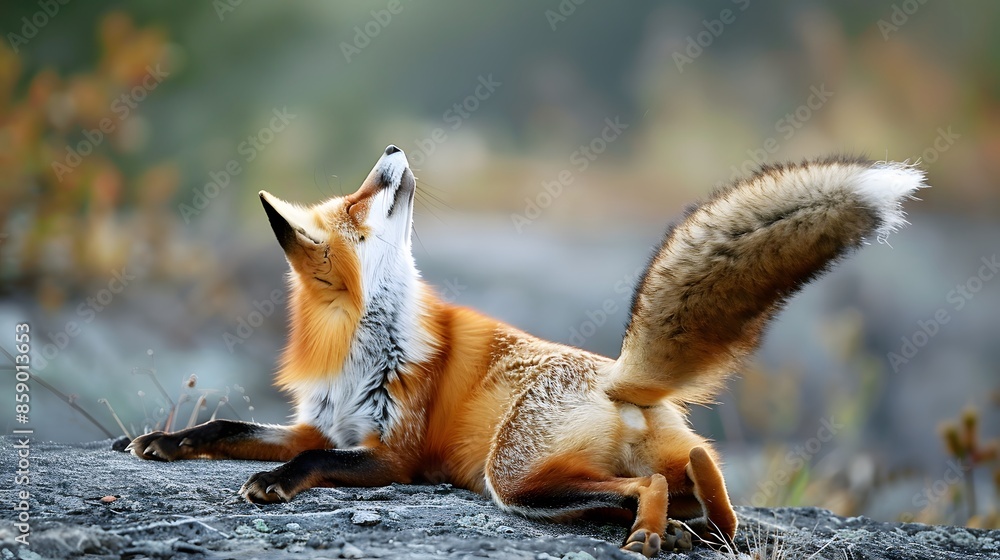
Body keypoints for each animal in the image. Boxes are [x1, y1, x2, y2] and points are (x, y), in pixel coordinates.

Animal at [128, 145, 925, 556]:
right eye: (358, 203)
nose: (392, 148)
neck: (362, 345)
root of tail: (620, 380)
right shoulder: (321, 424)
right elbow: (228, 425)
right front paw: (165, 443)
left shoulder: (393, 456)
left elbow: (308, 464)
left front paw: (272, 482)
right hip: (554, 484)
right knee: (695, 483)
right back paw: (687, 526)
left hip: (508, 480)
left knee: (649, 485)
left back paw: (650, 533)